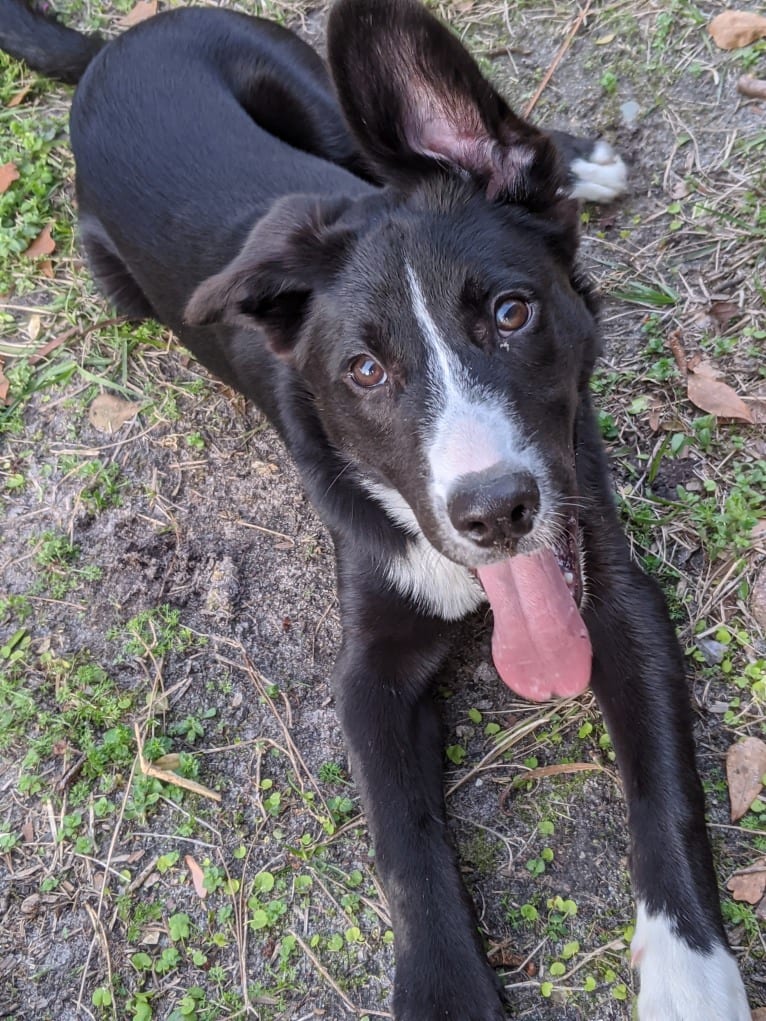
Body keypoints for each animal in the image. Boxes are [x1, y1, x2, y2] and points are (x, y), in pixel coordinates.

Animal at [0, 1, 751, 1021]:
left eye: (512, 312)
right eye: (363, 371)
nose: (496, 512)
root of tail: (119, 42)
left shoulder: (614, 584)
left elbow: (668, 789)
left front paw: (691, 974)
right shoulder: (369, 670)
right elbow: (404, 842)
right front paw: (446, 988)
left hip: (312, 87)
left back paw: (578, 158)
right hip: (122, 275)